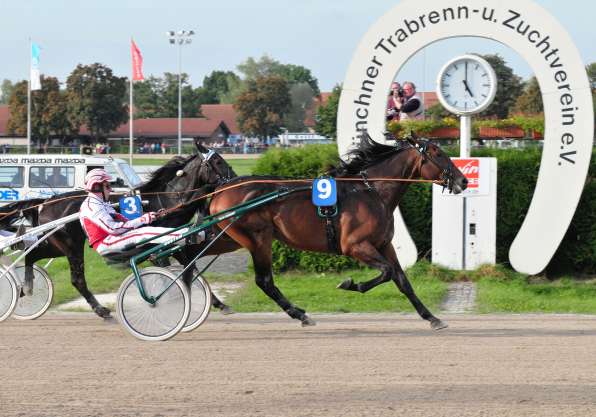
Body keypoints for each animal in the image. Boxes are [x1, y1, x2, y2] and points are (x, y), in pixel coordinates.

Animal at [0, 143, 237, 316]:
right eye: (217, 161)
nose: (234, 179)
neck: (166, 201)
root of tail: (45, 202)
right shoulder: (157, 248)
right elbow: (170, 273)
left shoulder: (173, 244)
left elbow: (191, 268)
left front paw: (219, 303)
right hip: (71, 245)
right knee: (77, 279)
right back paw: (101, 310)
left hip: (58, 246)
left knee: (32, 255)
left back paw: (26, 287)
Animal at [212, 135, 468, 330]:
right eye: (437, 153)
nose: (463, 180)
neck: (372, 192)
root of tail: (221, 189)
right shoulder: (355, 245)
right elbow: (386, 272)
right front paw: (349, 284)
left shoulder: (384, 244)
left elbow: (402, 280)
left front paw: (432, 317)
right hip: (258, 239)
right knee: (264, 281)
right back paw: (300, 314)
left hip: (229, 238)